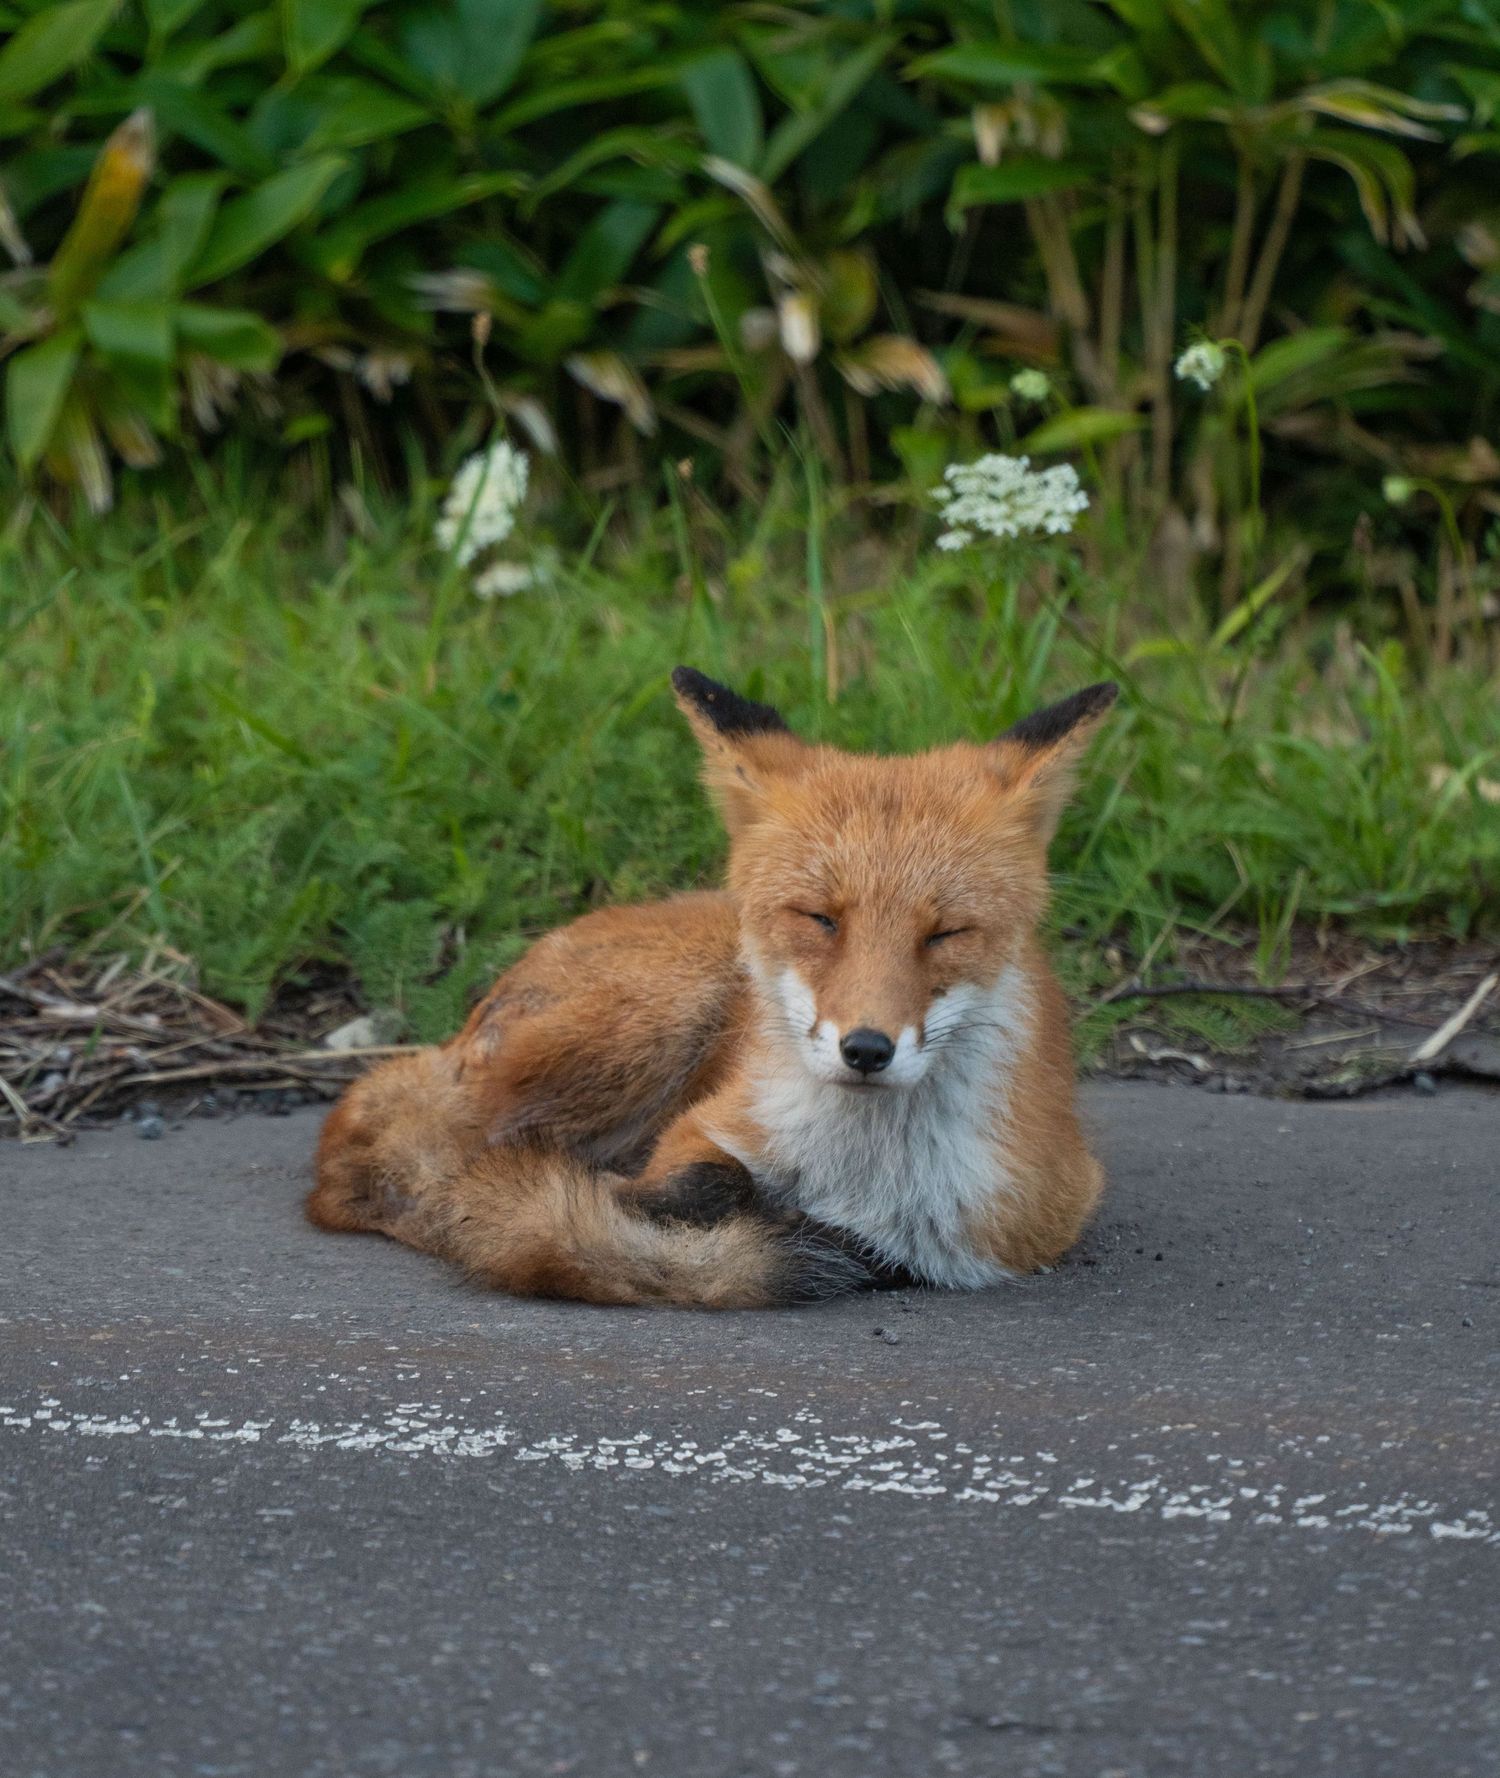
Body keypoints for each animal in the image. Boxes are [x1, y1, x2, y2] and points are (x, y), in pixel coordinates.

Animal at [308, 666, 1118, 1309]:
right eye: (821, 919)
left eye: (945, 934)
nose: (865, 1049)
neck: (865, 1171)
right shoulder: (701, 1130)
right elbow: (706, 1186)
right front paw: (621, 1209)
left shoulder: (1035, 1213)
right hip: (648, 1024)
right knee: (397, 1152)